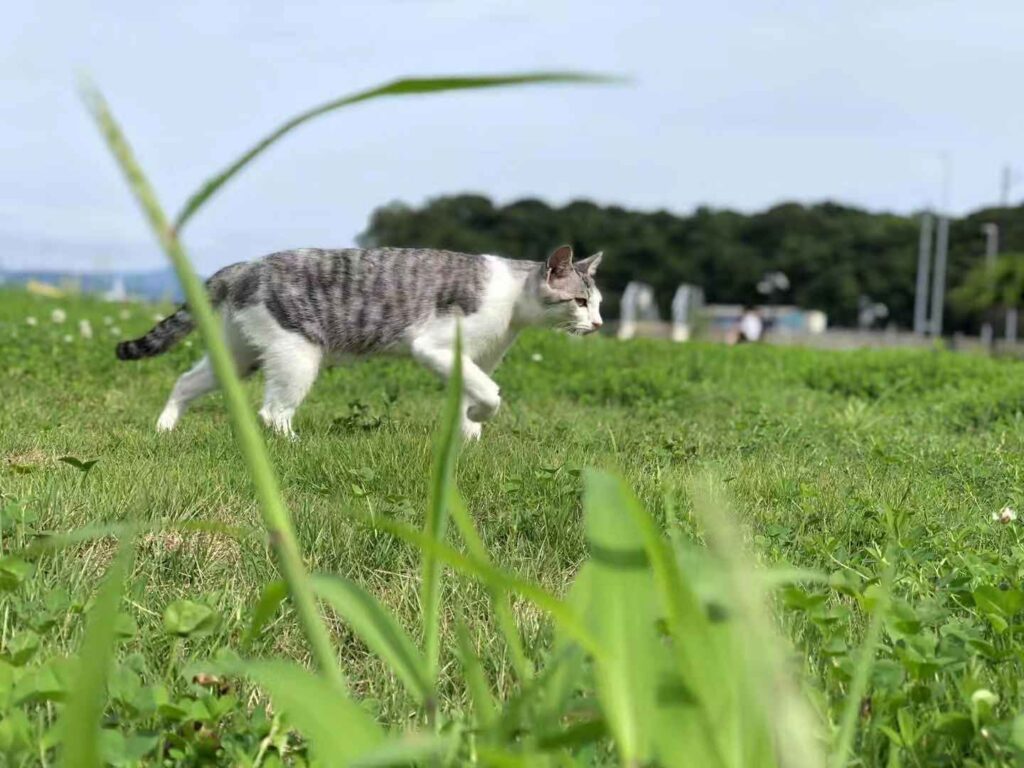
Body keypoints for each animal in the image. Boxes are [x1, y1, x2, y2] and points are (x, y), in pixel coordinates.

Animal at [117, 243, 602, 442]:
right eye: (580, 301)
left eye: (597, 303)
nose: (598, 324)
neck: (513, 303)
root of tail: (243, 266)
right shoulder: (435, 347)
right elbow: (490, 394)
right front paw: (480, 417)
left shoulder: (472, 360)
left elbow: (470, 395)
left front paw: (468, 438)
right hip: (298, 352)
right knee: (272, 412)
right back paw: (296, 445)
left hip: (238, 355)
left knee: (185, 381)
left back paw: (164, 429)